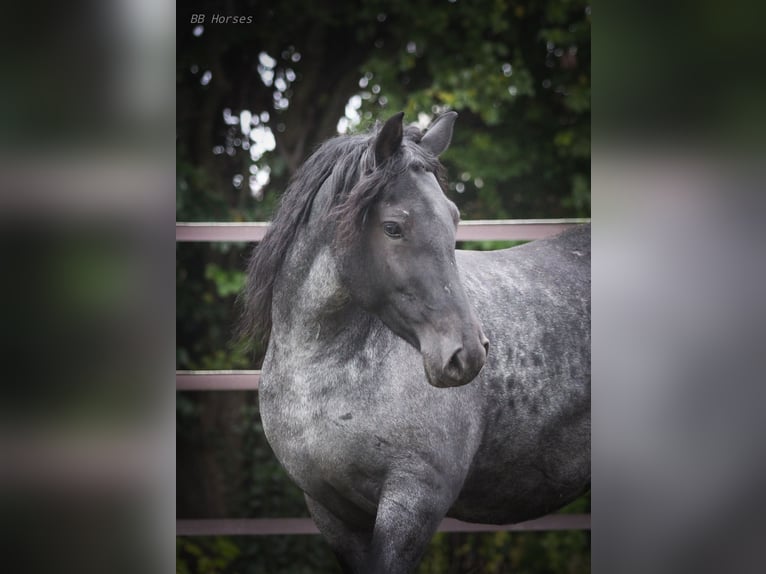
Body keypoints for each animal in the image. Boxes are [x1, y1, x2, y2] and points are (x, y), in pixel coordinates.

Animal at [241, 111, 590, 573]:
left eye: (454, 218)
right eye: (393, 227)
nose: (467, 353)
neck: (322, 378)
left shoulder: (414, 502)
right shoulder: (329, 511)